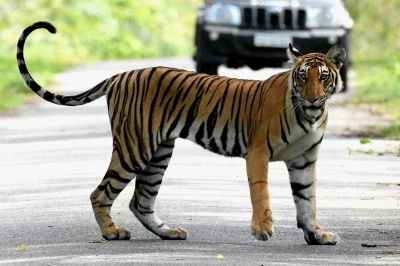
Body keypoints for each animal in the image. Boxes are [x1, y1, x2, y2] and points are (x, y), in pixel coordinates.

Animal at [17, 21, 346, 245]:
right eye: (302, 77)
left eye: (323, 77)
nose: (314, 98)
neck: (310, 115)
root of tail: (120, 75)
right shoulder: (257, 152)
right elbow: (261, 191)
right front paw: (262, 229)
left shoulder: (304, 160)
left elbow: (307, 199)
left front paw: (317, 235)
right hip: (134, 147)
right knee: (100, 193)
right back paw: (112, 233)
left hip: (159, 151)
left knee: (140, 201)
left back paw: (169, 232)